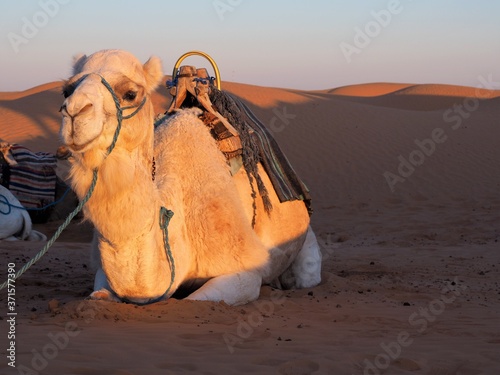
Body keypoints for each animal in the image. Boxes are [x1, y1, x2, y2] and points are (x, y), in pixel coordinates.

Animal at [59, 50, 320, 306]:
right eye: (67, 90)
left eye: (130, 93)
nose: (74, 111)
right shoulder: (103, 271)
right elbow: (99, 294)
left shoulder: (244, 270)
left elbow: (197, 299)